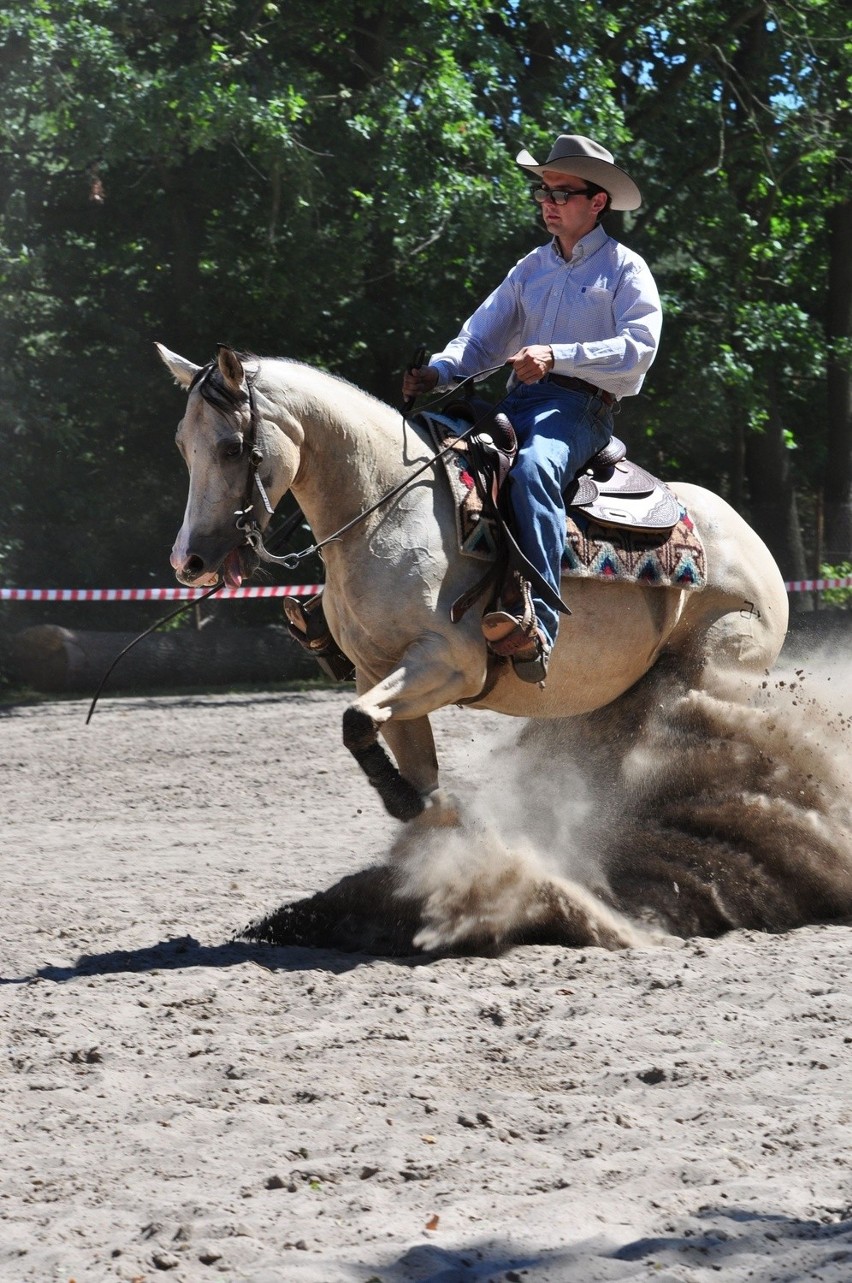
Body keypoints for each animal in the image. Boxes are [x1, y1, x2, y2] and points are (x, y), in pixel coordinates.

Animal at [156, 341, 790, 821]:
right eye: (182, 446)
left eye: (232, 447)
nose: (188, 561)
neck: (387, 512)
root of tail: (758, 550)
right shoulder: (377, 674)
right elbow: (387, 745)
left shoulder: (452, 664)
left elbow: (357, 720)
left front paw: (405, 804)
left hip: (707, 674)